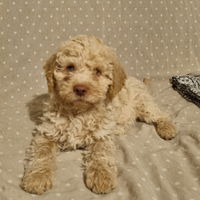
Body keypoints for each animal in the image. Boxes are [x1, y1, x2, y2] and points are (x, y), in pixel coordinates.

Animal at [19, 35, 177, 195]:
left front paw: (102, 177)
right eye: (70, 68)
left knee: (162, 115)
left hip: (144, 105)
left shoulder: (101, 134)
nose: (80, 89)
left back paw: (167, 129)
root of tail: (141, 83)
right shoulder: (47, 132)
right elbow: (42, 153)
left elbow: (100, 154)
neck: (79, 112)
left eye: (97, 71)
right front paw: (37, 177)